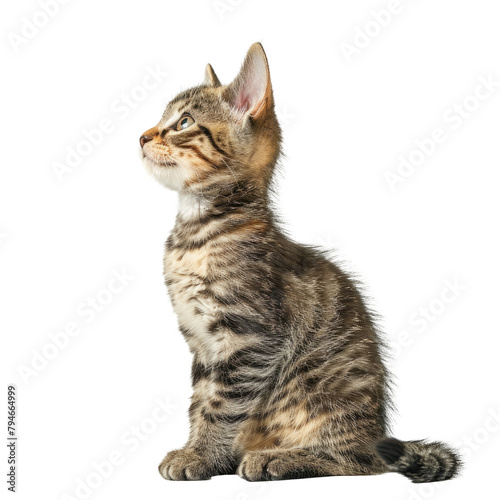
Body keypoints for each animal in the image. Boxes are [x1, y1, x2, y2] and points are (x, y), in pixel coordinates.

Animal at [139, 44, 458, 484]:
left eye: (183, 122)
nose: (142, 136)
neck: (196, 234)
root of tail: (376, 429)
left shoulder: (251, 339)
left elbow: (222, 406)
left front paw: (202, 455)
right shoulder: (201, 345)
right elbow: (200, 402)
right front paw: (200, 450)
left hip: (321, 396)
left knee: (362, 462)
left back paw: (279, 458)